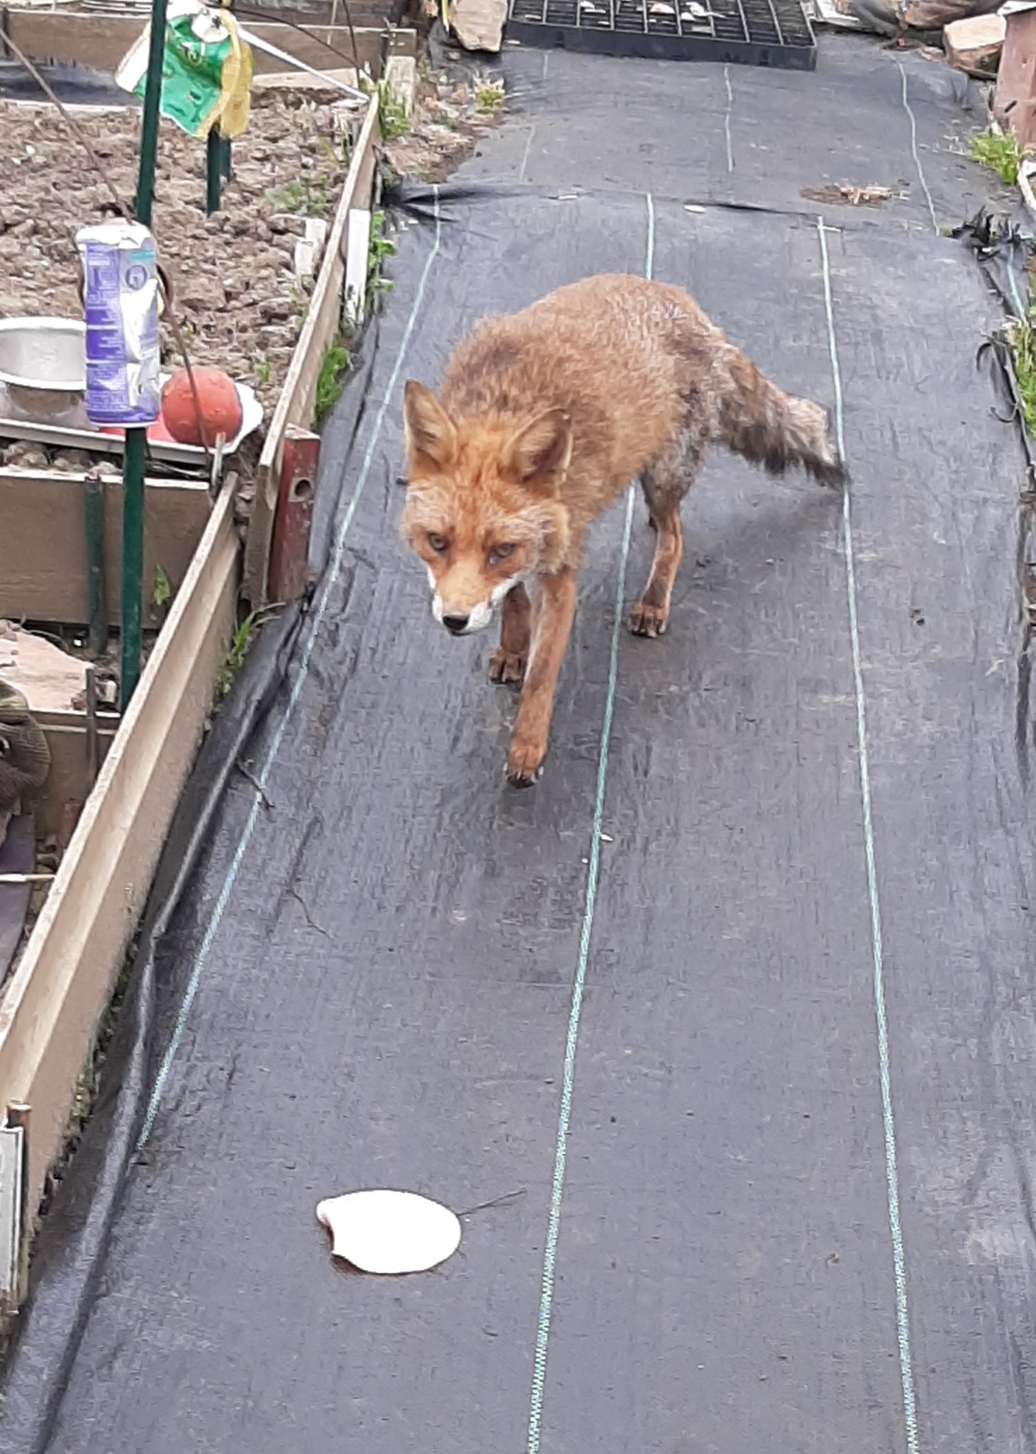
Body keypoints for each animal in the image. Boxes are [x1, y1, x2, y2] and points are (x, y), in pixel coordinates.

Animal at [399, 273, 845, 787]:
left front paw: (527, 750)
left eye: (501, 549)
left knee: (675, 537)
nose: (455, 621)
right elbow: (513, 599)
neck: (505, 408)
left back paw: (653, 601)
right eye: (437, 542)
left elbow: (541, 678)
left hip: (664, 474)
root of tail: (682, 302)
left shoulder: (562, 572)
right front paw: (512, 645)